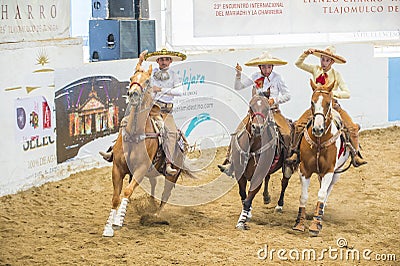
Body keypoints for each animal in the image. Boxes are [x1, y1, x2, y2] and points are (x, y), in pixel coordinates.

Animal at [103, 61, 191, 236]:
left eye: (147, 81)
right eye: (132, 78)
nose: (133, 94)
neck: (134, 134)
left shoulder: (141, 169)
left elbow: (127, 191)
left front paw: (118, 221)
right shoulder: (117, 168)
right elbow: (116, 197)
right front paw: (109, 227)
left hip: (172, 175)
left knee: (165, 195)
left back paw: (155, 215)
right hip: (152, 172)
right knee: (153, 185)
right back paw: (150, 204)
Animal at [231, 94, 294, 230]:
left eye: (266, 108)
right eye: (250, 107)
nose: (257, 127)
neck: (251, 148)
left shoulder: (257, 177)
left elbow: (248, 199)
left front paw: (241, 222)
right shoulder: (240, 175)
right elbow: (243, 196)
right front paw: (247, 214)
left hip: (286, 166)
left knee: (284, 182)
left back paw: (279, 205)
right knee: (268, 177)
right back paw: (266, 197)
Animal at [292, 79, 352, 237]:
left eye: (328, 103)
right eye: (312, 102)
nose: (318, 129)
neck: (319, 142)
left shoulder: (329, 171)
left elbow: (321, 195)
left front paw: (315, 225)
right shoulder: (304, 170)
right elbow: (303, 196)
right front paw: (299, 223)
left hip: (336, 173)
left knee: (326, 192)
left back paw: (320, 213)